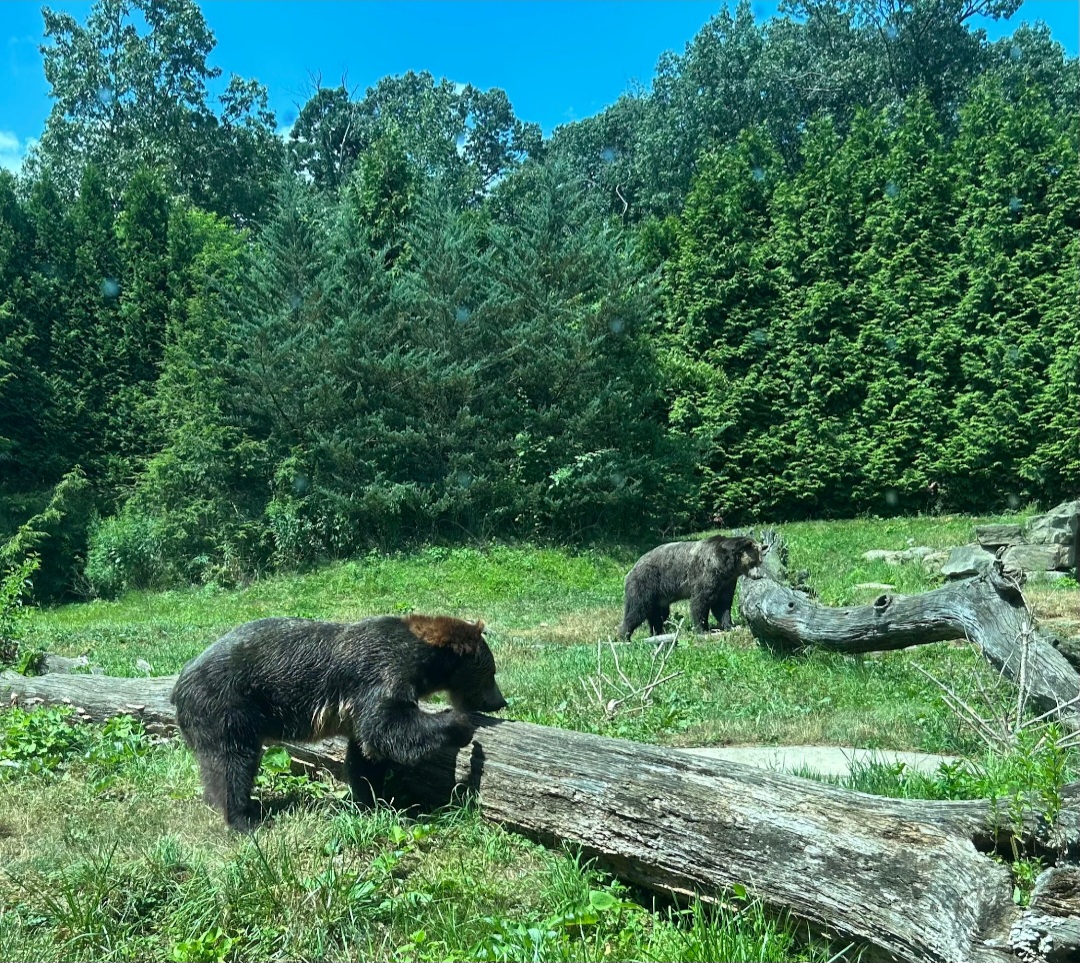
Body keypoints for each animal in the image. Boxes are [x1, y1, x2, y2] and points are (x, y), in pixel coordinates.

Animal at [171, 613, 506, 831]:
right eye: (491, 672)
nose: (501, 701)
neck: (422, 658)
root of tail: (178, 685)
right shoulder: (380, 674)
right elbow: (387, 728)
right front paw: (459, 724)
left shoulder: (360, 705)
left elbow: (366, 753)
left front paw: (371, 799)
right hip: (227, 706)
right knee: (232, 763)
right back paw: (244, 818)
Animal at [619, 535, 763, 640]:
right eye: (753, 561)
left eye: (760, 561)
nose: (759, 575)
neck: (724, 566)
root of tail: (632, 568)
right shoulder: (706, 574)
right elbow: (700, 602)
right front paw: (702, 629)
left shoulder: (726, 582)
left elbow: (722, 605)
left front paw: (730, 625)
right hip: (647, 583)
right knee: (637, 609)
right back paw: (624, 636)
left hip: (660, 596)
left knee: (659, 614)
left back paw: (658, 632)